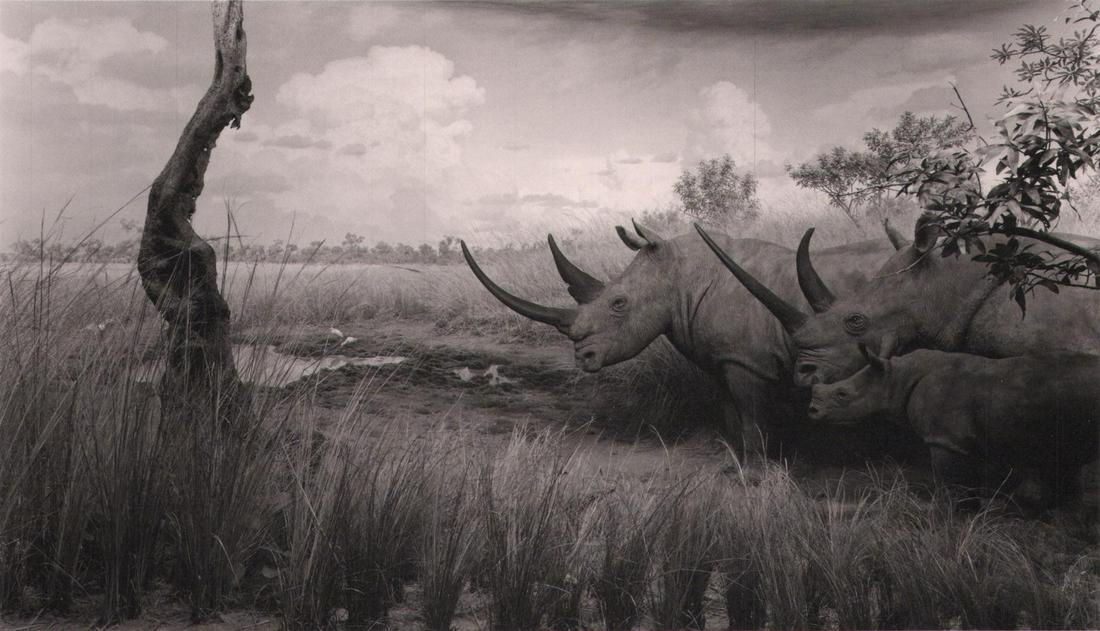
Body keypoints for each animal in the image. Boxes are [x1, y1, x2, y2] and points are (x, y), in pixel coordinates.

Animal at [461, 222, 896, 454]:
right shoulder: (723, 359)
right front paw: (734, 460)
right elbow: (732, 415)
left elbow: (753, 421)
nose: (582, 356)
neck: (680, 278)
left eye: (619, 303)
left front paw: (758, 472)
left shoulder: (747, 361)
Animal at [808, 343, 1100, 506]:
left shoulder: (946, 439)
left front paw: (953, 516)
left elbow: (954, 485)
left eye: (842, 394)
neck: (897, 377)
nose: (811, 411)